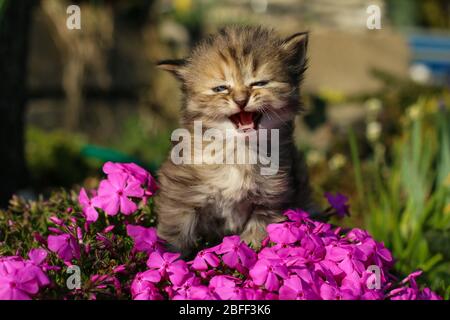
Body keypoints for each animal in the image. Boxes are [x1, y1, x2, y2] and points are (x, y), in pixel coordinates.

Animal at [155, 25, 312, 258]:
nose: (241, 100)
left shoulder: (269, 201)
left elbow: (256, 237)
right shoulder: (181, 196)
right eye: (221, 88)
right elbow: (174, 237)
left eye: (259, 83)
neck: (239, 151)